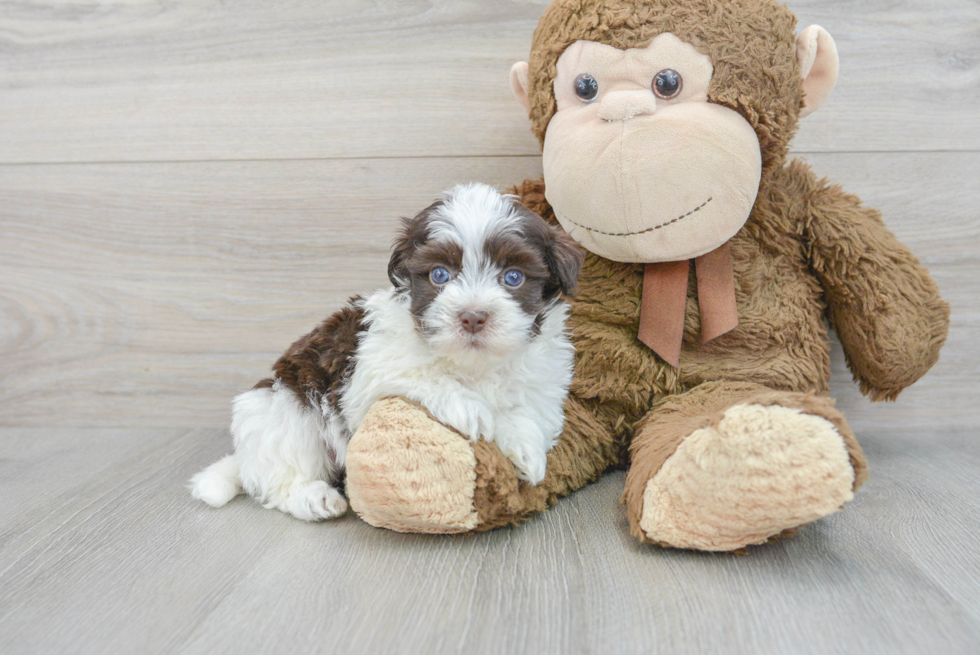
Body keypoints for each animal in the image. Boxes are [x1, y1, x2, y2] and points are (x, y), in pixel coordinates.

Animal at [190, 186, 580, 524]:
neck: (473, 364)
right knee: (280, 472)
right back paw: (312, 497)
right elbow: (422, 373)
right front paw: (470, 409)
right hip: (283, 408)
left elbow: (527, 409)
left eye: (513, 277)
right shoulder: (367, 371)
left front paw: (526, 447)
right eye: (440, 274)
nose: (472, 317)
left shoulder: (544, 378)